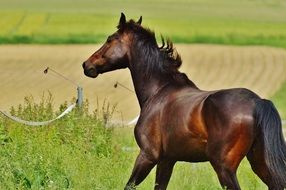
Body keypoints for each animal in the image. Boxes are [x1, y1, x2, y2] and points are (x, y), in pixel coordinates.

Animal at [82, 13, 286, 189]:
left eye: (110, 39)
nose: (87, 65)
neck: (159, 91)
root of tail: (257, 102)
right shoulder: (167, 160)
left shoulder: (147, 155)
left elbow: (129, 185)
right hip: (259, 162)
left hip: (224, 168)